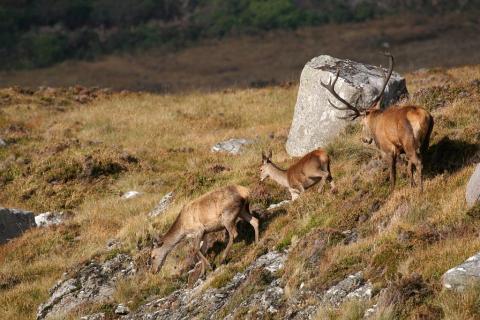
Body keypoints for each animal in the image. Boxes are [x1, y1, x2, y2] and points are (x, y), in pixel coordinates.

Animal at [322, 53, 436, 191]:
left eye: (362, 124)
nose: (364, 139)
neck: (375, 123)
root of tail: (423, 116)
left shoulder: (388, 150)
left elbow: (393, 175)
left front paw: (392, 191)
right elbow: (409, 169)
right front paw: (410, 185)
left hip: (410, 143)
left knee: (418, 163)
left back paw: (421, 190)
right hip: (426, 140)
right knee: (421, 160)